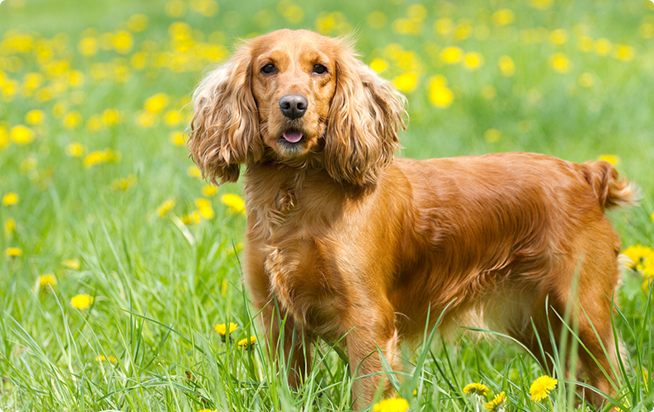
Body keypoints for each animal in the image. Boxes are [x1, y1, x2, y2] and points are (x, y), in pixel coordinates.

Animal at [187, 29, 640, 408]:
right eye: (267, 68)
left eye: (321, 69)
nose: (294, 105)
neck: (295, 194)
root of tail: (585, 174)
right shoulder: (278, 319)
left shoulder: (368, 321)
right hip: (540, 323)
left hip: (582, 310)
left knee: (608, 380)